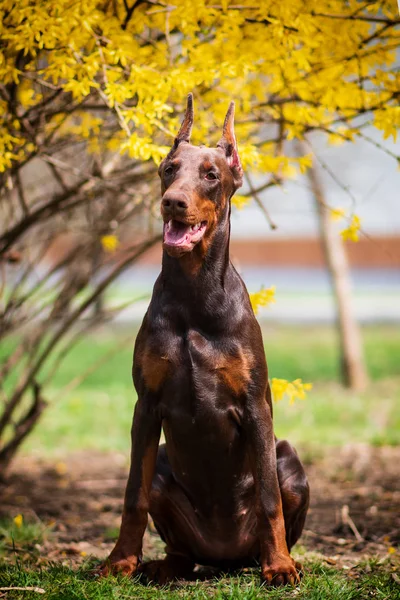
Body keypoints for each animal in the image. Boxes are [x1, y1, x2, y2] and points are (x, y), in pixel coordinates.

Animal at [101, 95, 310, 584]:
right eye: (168, 168)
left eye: (211, 174)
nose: (172, 202)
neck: (194, 295)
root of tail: (223, 558)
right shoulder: (146, 405)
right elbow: (132, 495)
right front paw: (121, 560)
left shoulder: (255, 404)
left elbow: (269, 498)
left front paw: (279, 566)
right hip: (163, 465)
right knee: (177, 544)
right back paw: (161, 565)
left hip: (289, 459)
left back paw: (277, 558)